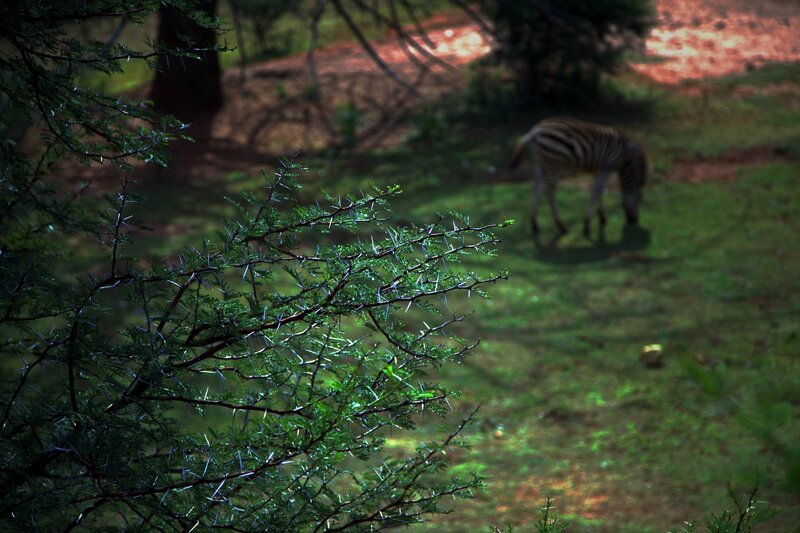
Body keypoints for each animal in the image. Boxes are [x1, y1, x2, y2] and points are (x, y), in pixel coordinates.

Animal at [509, 117, 647, 238]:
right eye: (640, 199)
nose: (634, 220)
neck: (625, 157)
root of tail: (535, 131)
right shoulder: (605, 167)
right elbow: (596, 192)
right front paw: (586, 226)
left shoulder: (597, 170)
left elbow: (601, 192)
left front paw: (602, 218)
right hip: (554, 166)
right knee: (549, 193)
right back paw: (561, 225)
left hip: (539, 164)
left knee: (537, 188)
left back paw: (534, 224)